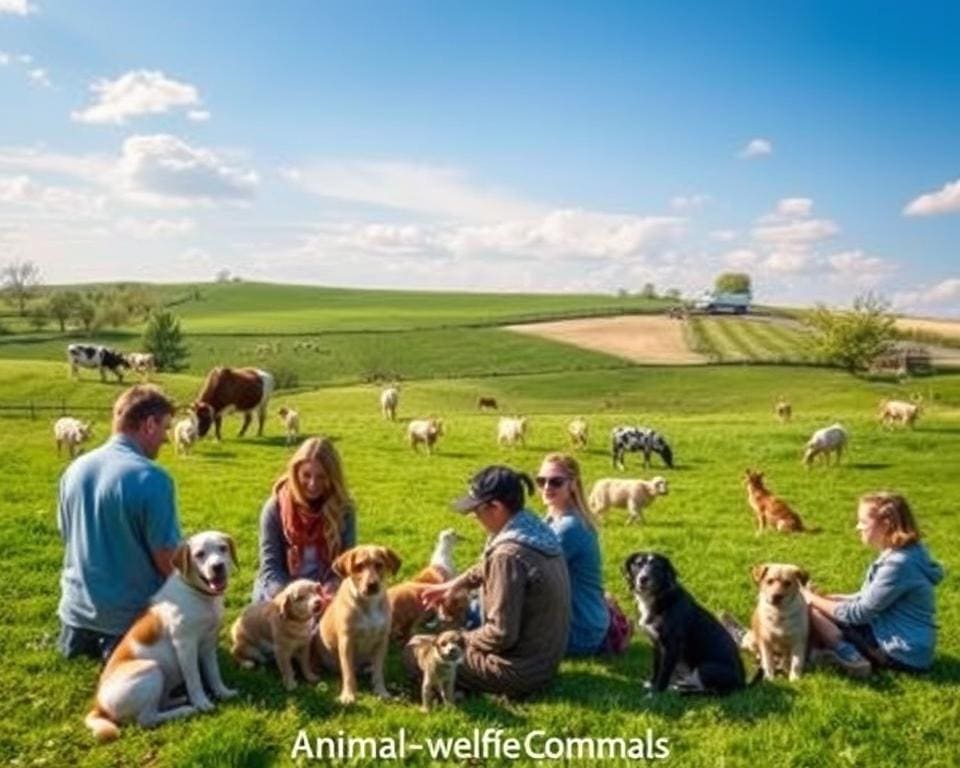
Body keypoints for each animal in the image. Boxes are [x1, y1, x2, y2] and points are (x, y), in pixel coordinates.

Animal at [84, 532, 238, 740]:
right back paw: (185, 710)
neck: (198, 594)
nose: (218, 566)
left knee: (160, 704)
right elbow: (194, 678)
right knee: (147, 719)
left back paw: (179, 700)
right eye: (199, 554)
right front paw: (201, 703)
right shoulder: (185, 645)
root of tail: (99, 706)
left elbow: (213, 673)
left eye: (223, 548)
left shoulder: (208, 643)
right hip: (151, 669)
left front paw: (223, 692)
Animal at [314, 544, 400, 704]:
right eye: (359, 566)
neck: (368, 604)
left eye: (379, 565)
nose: (372, 585)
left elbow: (379, 672)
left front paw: (381, 691)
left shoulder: (382, 640)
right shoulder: (346, 641)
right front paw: (348, 695)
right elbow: (348, 673)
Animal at [628, 548, 748, 692]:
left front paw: (656, 692)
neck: (660, 597)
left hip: (705, 668)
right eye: (638, 564)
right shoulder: (656, 644)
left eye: (657, 567)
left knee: (708, 690)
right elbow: (657, 667)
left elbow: (664, 672)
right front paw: (652, 684)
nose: (643, 579)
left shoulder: (672, 645)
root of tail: (743, 683)